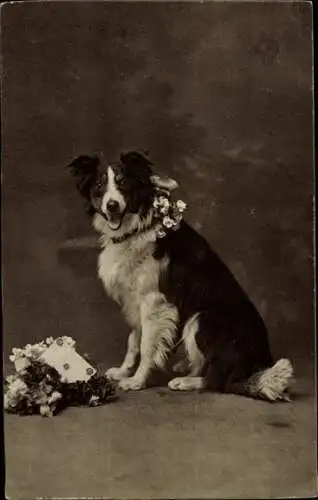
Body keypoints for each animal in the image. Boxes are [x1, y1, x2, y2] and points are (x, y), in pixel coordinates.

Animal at [69, 150, 294, 400]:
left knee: (220, 380)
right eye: (99, 185)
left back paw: (187, 382)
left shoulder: (154, 301)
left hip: (202, 319)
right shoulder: (135, 300)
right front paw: (123, 371)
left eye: (123, 183)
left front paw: (137, 381)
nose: (112, 206)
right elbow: (133, 340)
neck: (136, 229)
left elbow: (146, 345)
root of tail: (261, 359)